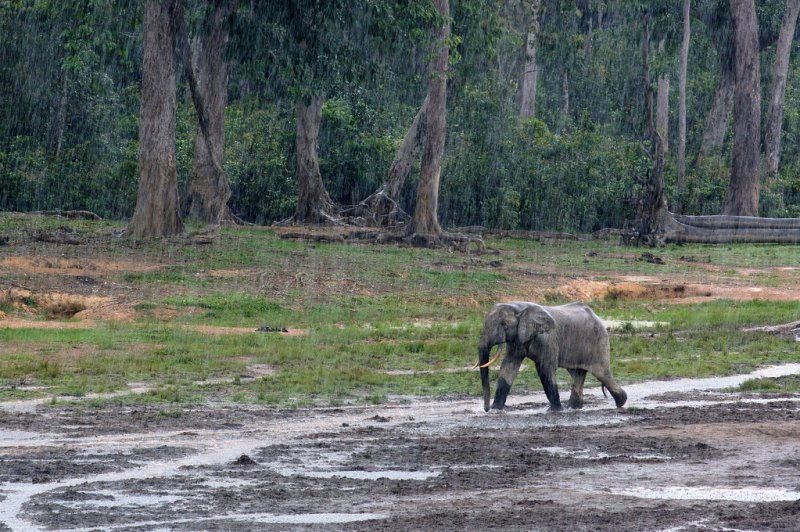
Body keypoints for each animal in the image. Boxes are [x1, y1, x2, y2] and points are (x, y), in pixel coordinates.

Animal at [476, 300, 624, 412]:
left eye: (504, 324)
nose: (486, 409)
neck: (520, 307)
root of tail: (596, 316)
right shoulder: (517, 339)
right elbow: (507, 368)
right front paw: (495, 410)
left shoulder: (547, 338)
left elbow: (545, 370)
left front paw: (554, 411)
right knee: (577, 374)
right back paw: (573, 408)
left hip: (598, 342)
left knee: (602, 374)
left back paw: (621, 403)